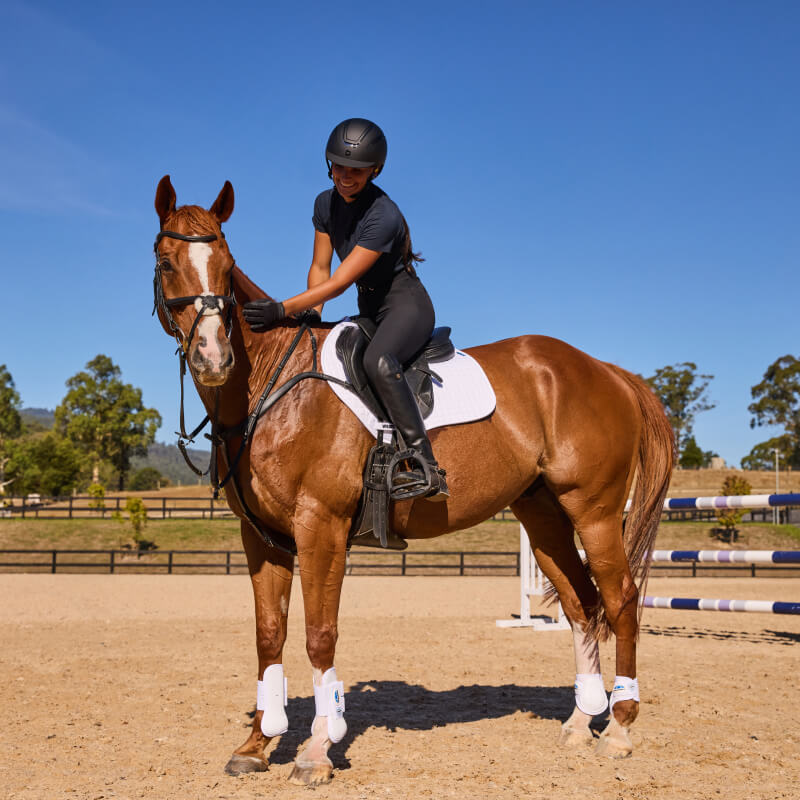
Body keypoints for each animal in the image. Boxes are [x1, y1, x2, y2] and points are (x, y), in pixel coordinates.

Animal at [152, 175, 674, 785]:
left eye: (227, 264)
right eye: (166, 263)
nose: (214, 357)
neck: (268, 387)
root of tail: (606, 370)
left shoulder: (321, 526)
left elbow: (319, 634)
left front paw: (317, 749)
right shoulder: (262, 537)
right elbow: (268, 634)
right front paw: (257, 743)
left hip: (593, 511)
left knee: (620, 600)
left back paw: (618, 727)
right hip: (543, 514)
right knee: (580, 604)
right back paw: (578, 722)